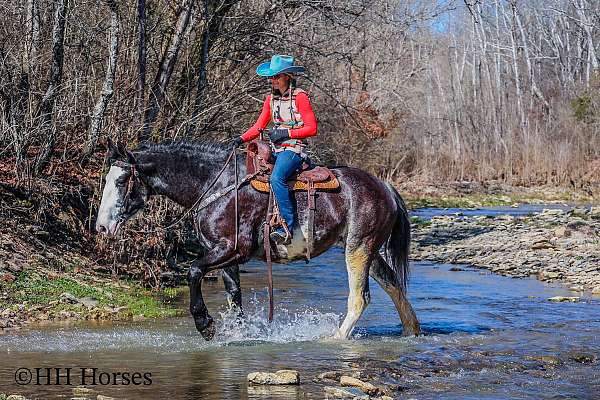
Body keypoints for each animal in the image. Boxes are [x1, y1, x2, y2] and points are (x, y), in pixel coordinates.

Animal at [96, 139, 420, 340]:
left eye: (121, 181)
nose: (101, 227)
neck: (217, 183)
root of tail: (385, 187)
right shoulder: (223, 255)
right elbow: (234, 296)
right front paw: (237, 332)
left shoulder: (233, 250)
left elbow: (193, 271)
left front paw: (205, 325)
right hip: (369, 251)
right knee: (394, 286)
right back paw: (412, 332)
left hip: (358, 248)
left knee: (360, 297)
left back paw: (336, 338)